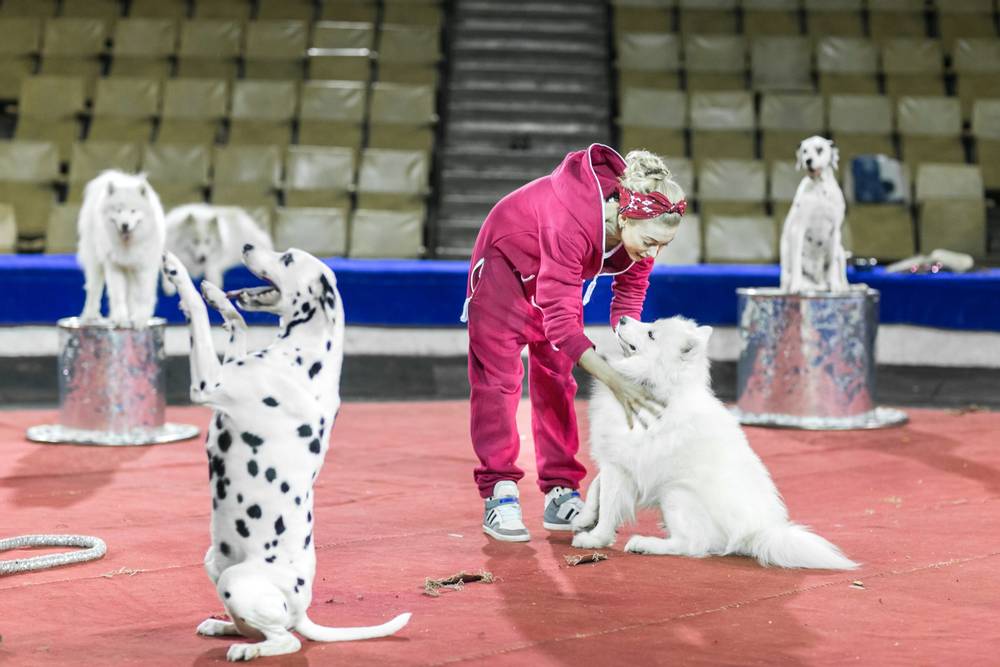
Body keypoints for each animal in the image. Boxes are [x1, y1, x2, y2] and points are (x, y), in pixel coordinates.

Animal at [78, 170, 165, 326]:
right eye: (118, 210)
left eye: (133, 211)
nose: (125, 225)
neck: (128, 245)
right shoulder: (115, 267)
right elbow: (118, 295)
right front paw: (120, 318)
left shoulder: (145, 267)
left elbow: (143, 295)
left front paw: (140, 319)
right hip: (95, 263)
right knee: (94, 289)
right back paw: (90, 316)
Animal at [162, 247, 412, 664]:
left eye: (288, 257)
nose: (247, 246)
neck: (306, 357)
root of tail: (301, 611)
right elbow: (237, 323)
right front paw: (217, 296)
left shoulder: (208, 383)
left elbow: (196, 309)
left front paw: (178, 274)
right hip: (215, 561)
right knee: (258, 627)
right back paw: (223, 626)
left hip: (236, 581)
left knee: (286, 640)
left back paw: (249, 649)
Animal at [576, 316, 856, 572]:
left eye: (651, 333)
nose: (622, 318)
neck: (654, 384)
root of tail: (758, 532)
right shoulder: (615, 462)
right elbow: (595, 487)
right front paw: (583, 518)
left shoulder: (619, 465)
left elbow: (608, 505)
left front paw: (594, 538)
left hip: (675, 494)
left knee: (690, 545)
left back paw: (645, 543)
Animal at [776, 135, 848, 292]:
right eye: (804, 151)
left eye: (819, 149)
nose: (808, 161)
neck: (820, 189)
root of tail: (818, 282)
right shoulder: (798, 230)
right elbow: (796, 263)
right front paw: (795, 286)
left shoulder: (835, 231)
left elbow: (833, 265)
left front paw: (835, 285)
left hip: (841, 250)